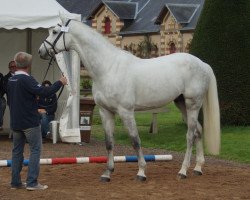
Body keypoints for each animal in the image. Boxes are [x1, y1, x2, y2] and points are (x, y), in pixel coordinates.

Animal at [38, 14, 220, 181]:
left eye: (55, 32)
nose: (41, 51)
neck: (108, 68)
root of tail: (203, 64)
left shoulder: (126, 112)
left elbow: (135, 140)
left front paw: (141, 172)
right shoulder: (105, 112)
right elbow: (109, 142)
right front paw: (108, 173)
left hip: (192, 104)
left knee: (190, 135)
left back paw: (183, 171)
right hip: (181, 103)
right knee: (198, 131)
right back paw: (197, 168)